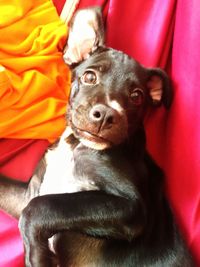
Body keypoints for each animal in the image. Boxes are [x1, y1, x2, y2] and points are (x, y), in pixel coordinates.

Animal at [0, 7, 194, 266]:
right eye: (89, 77)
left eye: (136, 96)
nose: (105, 115)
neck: (75, 144)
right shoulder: (25, 194)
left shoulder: (130, 207)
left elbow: (41, 207)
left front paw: (38, 255)